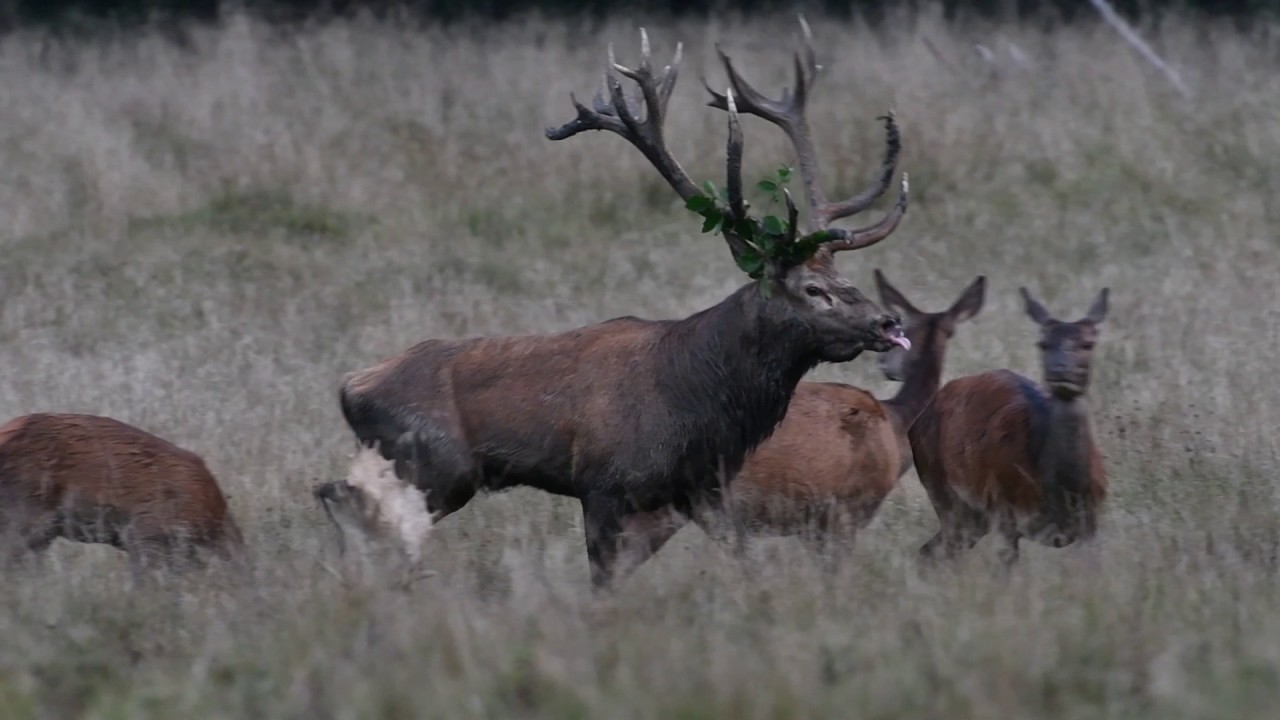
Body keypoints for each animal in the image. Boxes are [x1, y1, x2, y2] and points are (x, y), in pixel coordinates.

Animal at [321, 19, 911, 588]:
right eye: (812, 289)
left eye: (843, 275)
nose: (887, 322)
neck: (697, 400)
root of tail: (351, 386)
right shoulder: (603, 482)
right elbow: (603, 581)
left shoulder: (702, 487)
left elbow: (742, 558)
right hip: (434, 464)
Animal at [909, 287, 1110, 567]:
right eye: (1043, 343)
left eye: (1088, 343)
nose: (1060, 369)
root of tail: (917, 421)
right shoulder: (1006, 511)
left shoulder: (1091, 522)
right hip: (941, 488)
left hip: (974, 515)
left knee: (932, 550)